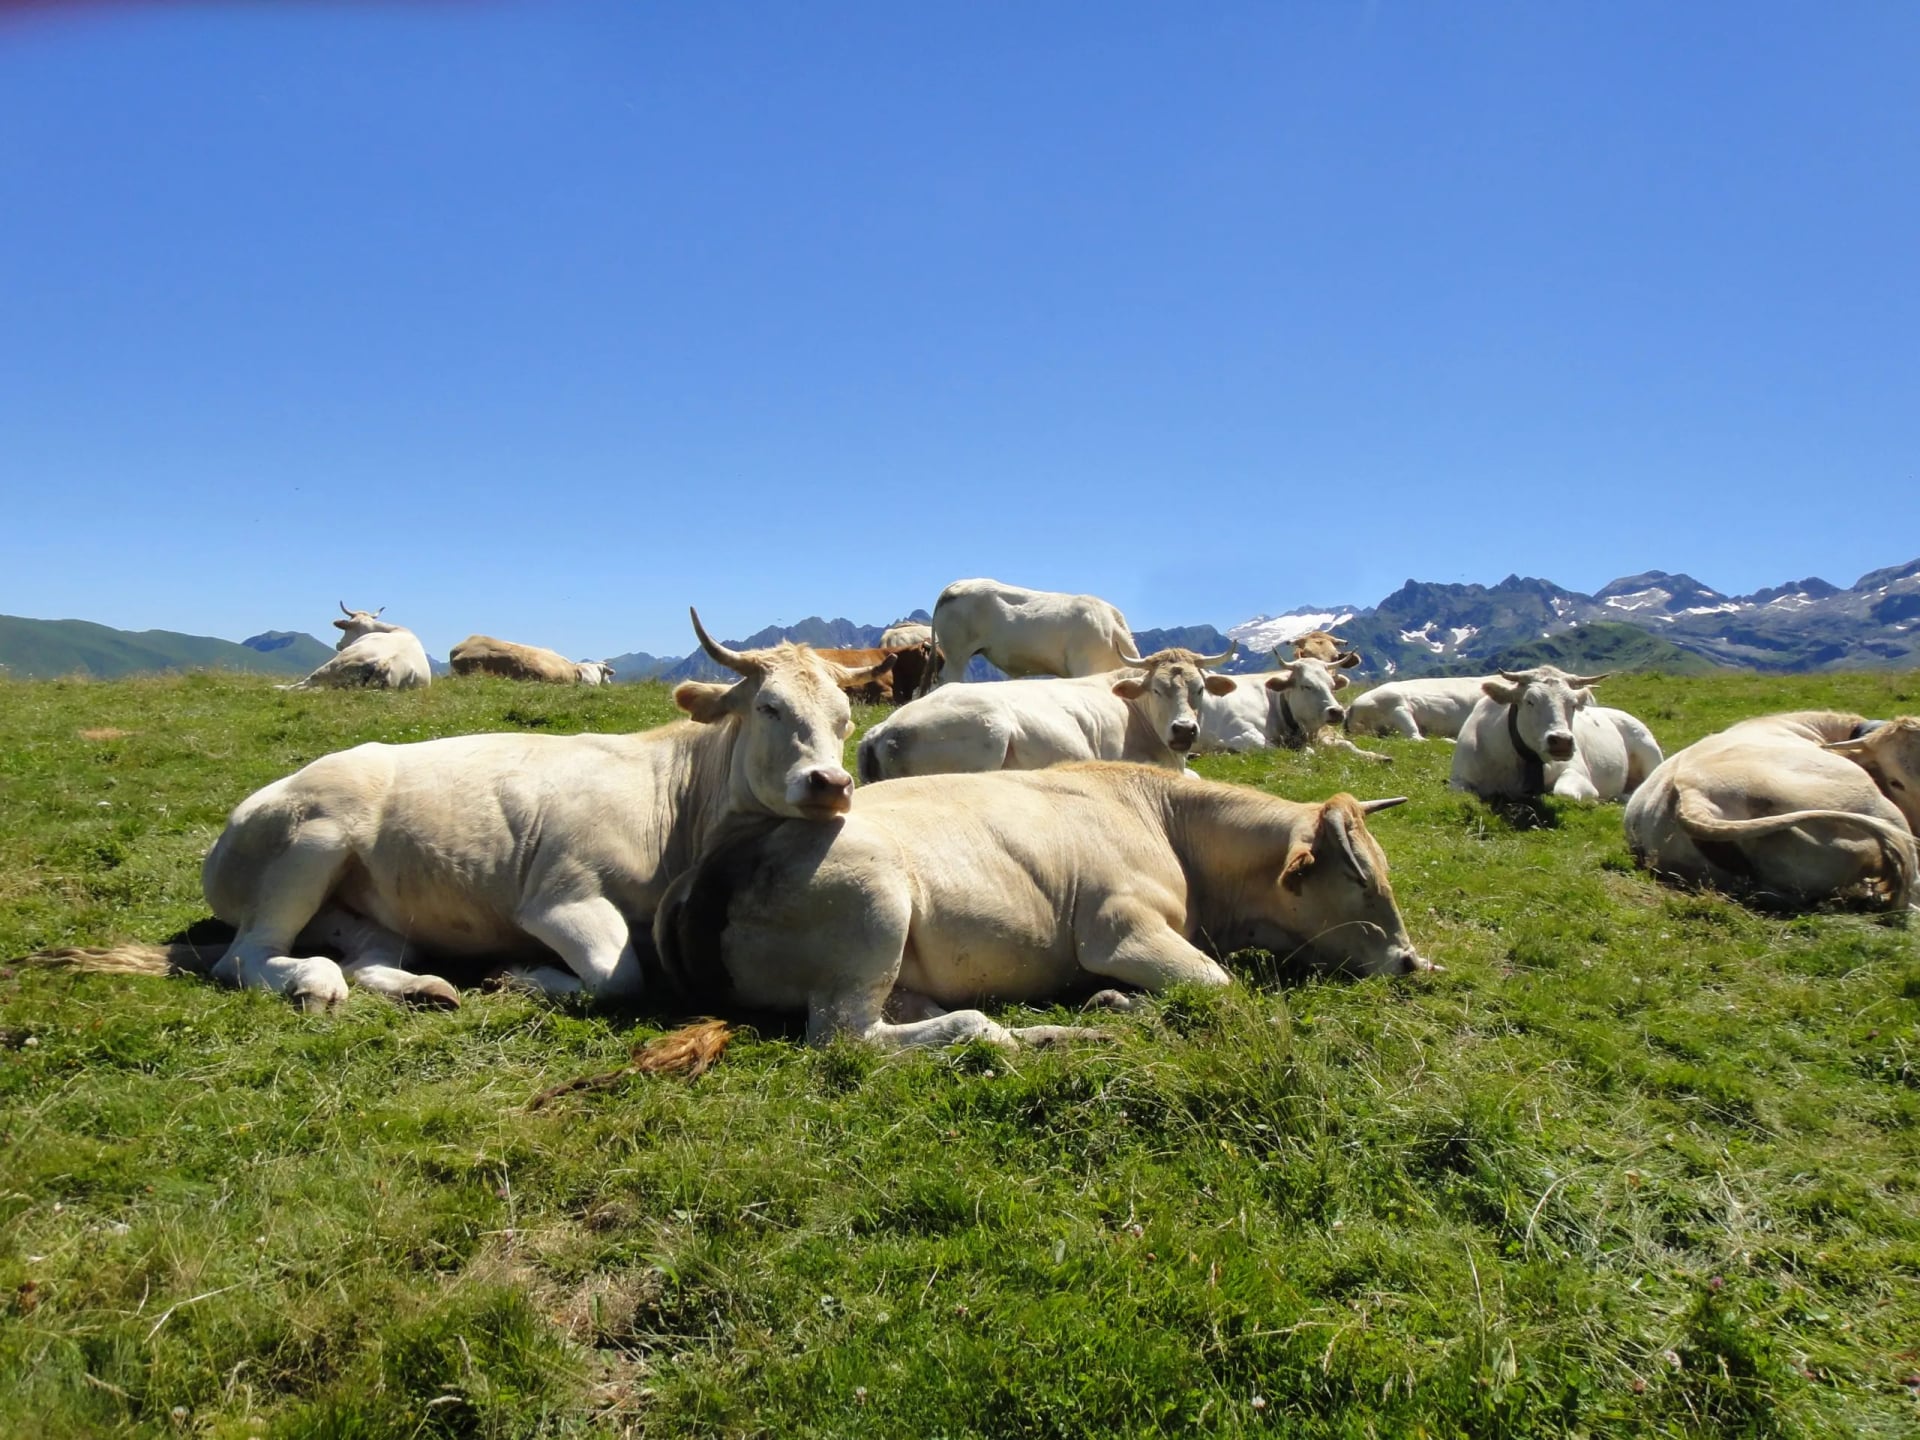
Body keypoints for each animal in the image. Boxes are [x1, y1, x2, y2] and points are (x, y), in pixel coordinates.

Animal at [281, 604, 432, 691]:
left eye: (346, 629)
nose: (339, 644)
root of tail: (385, 663)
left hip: (330, 666)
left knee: (302, 685)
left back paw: (280, 687)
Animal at [652, 763, 1434, 1051]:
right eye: (1360, 879)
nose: (1412, 961)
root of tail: (714, 862)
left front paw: (1114, 1004)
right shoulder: (1120, 932)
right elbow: (1221, 988)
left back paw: (1064, 1030)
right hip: (874, 908)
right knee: (852, 1037)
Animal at [1197, 651, 1392, 763]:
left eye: (1332, 685)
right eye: (1306, 685)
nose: (1336, 712)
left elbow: (1347, 745)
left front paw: (1376, 756)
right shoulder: (1240, 735)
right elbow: (1300, 752)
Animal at [1450, 667, 1662, 802]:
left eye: (1573, 704)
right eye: (1530, 701)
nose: (1561, 741)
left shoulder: (1578, 772)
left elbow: (1563, 792)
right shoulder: (1458, 778)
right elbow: (1462, 792)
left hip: (1651, 754)